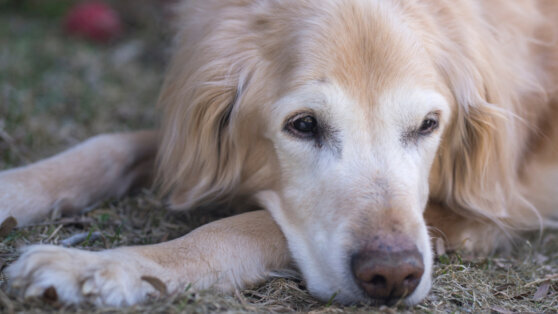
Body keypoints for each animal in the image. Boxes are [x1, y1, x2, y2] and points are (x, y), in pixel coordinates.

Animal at [1, 0, 558, 308]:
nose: (393, 277)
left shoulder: (487, 209)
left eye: (428, 125)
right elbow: (109, 146)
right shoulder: (192, 139)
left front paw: (102, 266)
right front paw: (16, 188)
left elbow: (243, 227)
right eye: (304, 125)